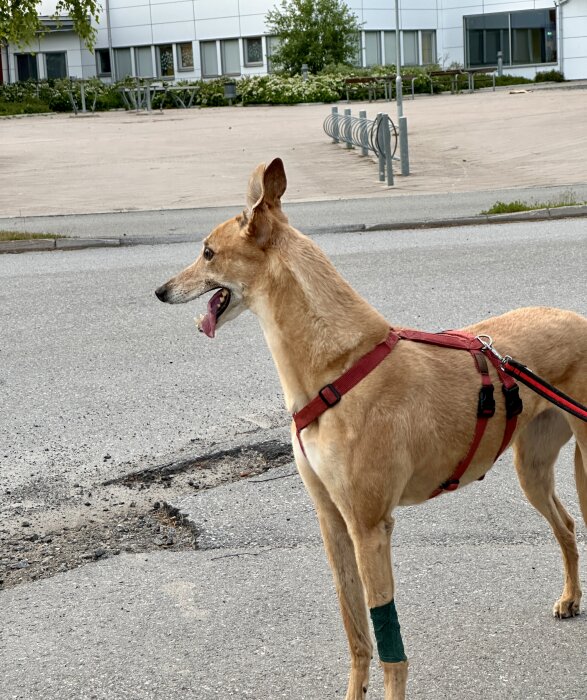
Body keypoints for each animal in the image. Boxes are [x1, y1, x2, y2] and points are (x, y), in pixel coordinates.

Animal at [155, 159, 587, 700]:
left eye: (208, 252)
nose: (160, 291)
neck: (337, 366)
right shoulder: (333, 522)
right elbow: (356, 629)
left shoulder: (370, 526)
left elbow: (389, 643)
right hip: (531, 469)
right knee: (566, 526)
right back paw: (571, 597)